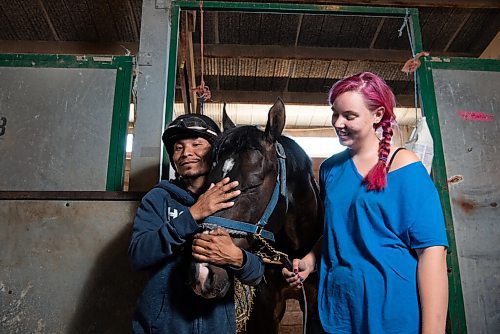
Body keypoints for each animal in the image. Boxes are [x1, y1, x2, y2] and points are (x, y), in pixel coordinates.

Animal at [189, 98, 322, 332]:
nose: (202, 273)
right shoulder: (267, 305)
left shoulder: (313, 305)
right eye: (209, 184)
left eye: (253, 185)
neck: (293, 251)